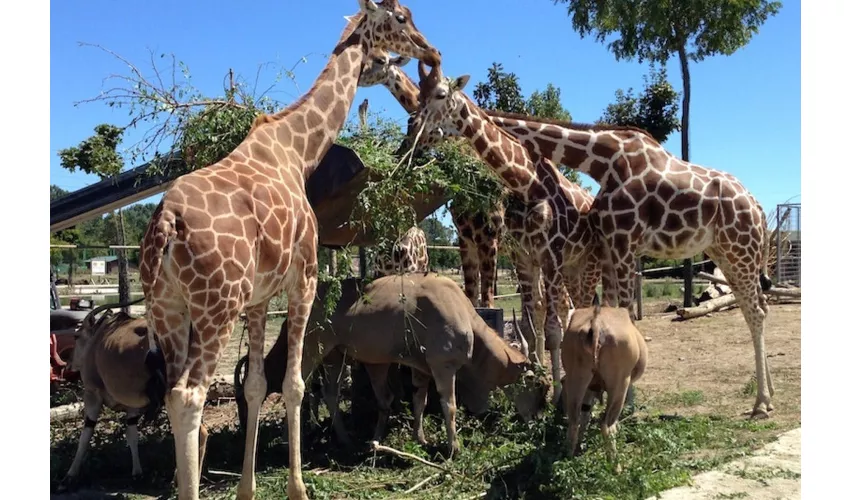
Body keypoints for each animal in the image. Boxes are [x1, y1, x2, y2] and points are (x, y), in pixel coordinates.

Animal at [136, 1, 440, 498]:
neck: (299, 151)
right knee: (188, 397)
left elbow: (257, 385)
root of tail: (165, 223)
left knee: (172, 394)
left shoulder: (260, 299)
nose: (430, 53)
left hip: (167, 310)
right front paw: (298, 487)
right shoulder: (304, 277)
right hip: (216, 306)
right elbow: (296, 383)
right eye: (399, 18)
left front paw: (248, 489)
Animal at [356, 51, 506, 308]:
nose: (356, 75)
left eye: (380, 60)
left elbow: (486, 302)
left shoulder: (488, 237)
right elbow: (471, 299)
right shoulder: (466, 238)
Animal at [402, 60, 608, 402]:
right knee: (572, 310)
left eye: (441, 93)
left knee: (584, 310)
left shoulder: (550, 255)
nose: (412, 130)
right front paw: (538, 380)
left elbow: (552, 327)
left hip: (588, 264)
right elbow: (533, 321)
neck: (525, 183)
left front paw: (557, 397)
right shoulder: (525, 257)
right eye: (419, 93)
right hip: (571, 268)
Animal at [476, 108, 776, 418]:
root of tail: (759, 209)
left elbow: (624, 317)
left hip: (740, 250)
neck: (604, 161)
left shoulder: (621, 243)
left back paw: (761, 403)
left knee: (756, 311)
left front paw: (624, 405)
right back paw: (768, 395)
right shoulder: (602, 247)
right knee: (757, 307)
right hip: (726, 253)